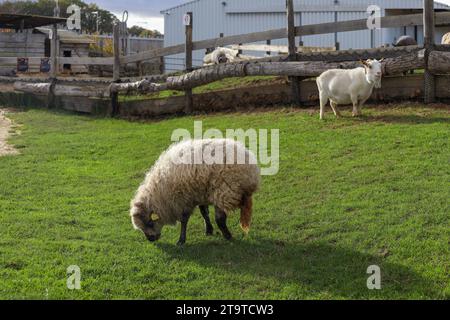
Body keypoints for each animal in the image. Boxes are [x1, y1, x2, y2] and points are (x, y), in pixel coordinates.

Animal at [130, 138, 260, 245]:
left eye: (150, 223)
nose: (150, 239)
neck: (160, 192)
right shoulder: (200, 195)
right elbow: (204, 213)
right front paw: (208, 229)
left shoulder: (183, 200)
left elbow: (184, 220)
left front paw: (181, 240)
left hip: (224, 191)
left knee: (220, 218)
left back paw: (228, 235)